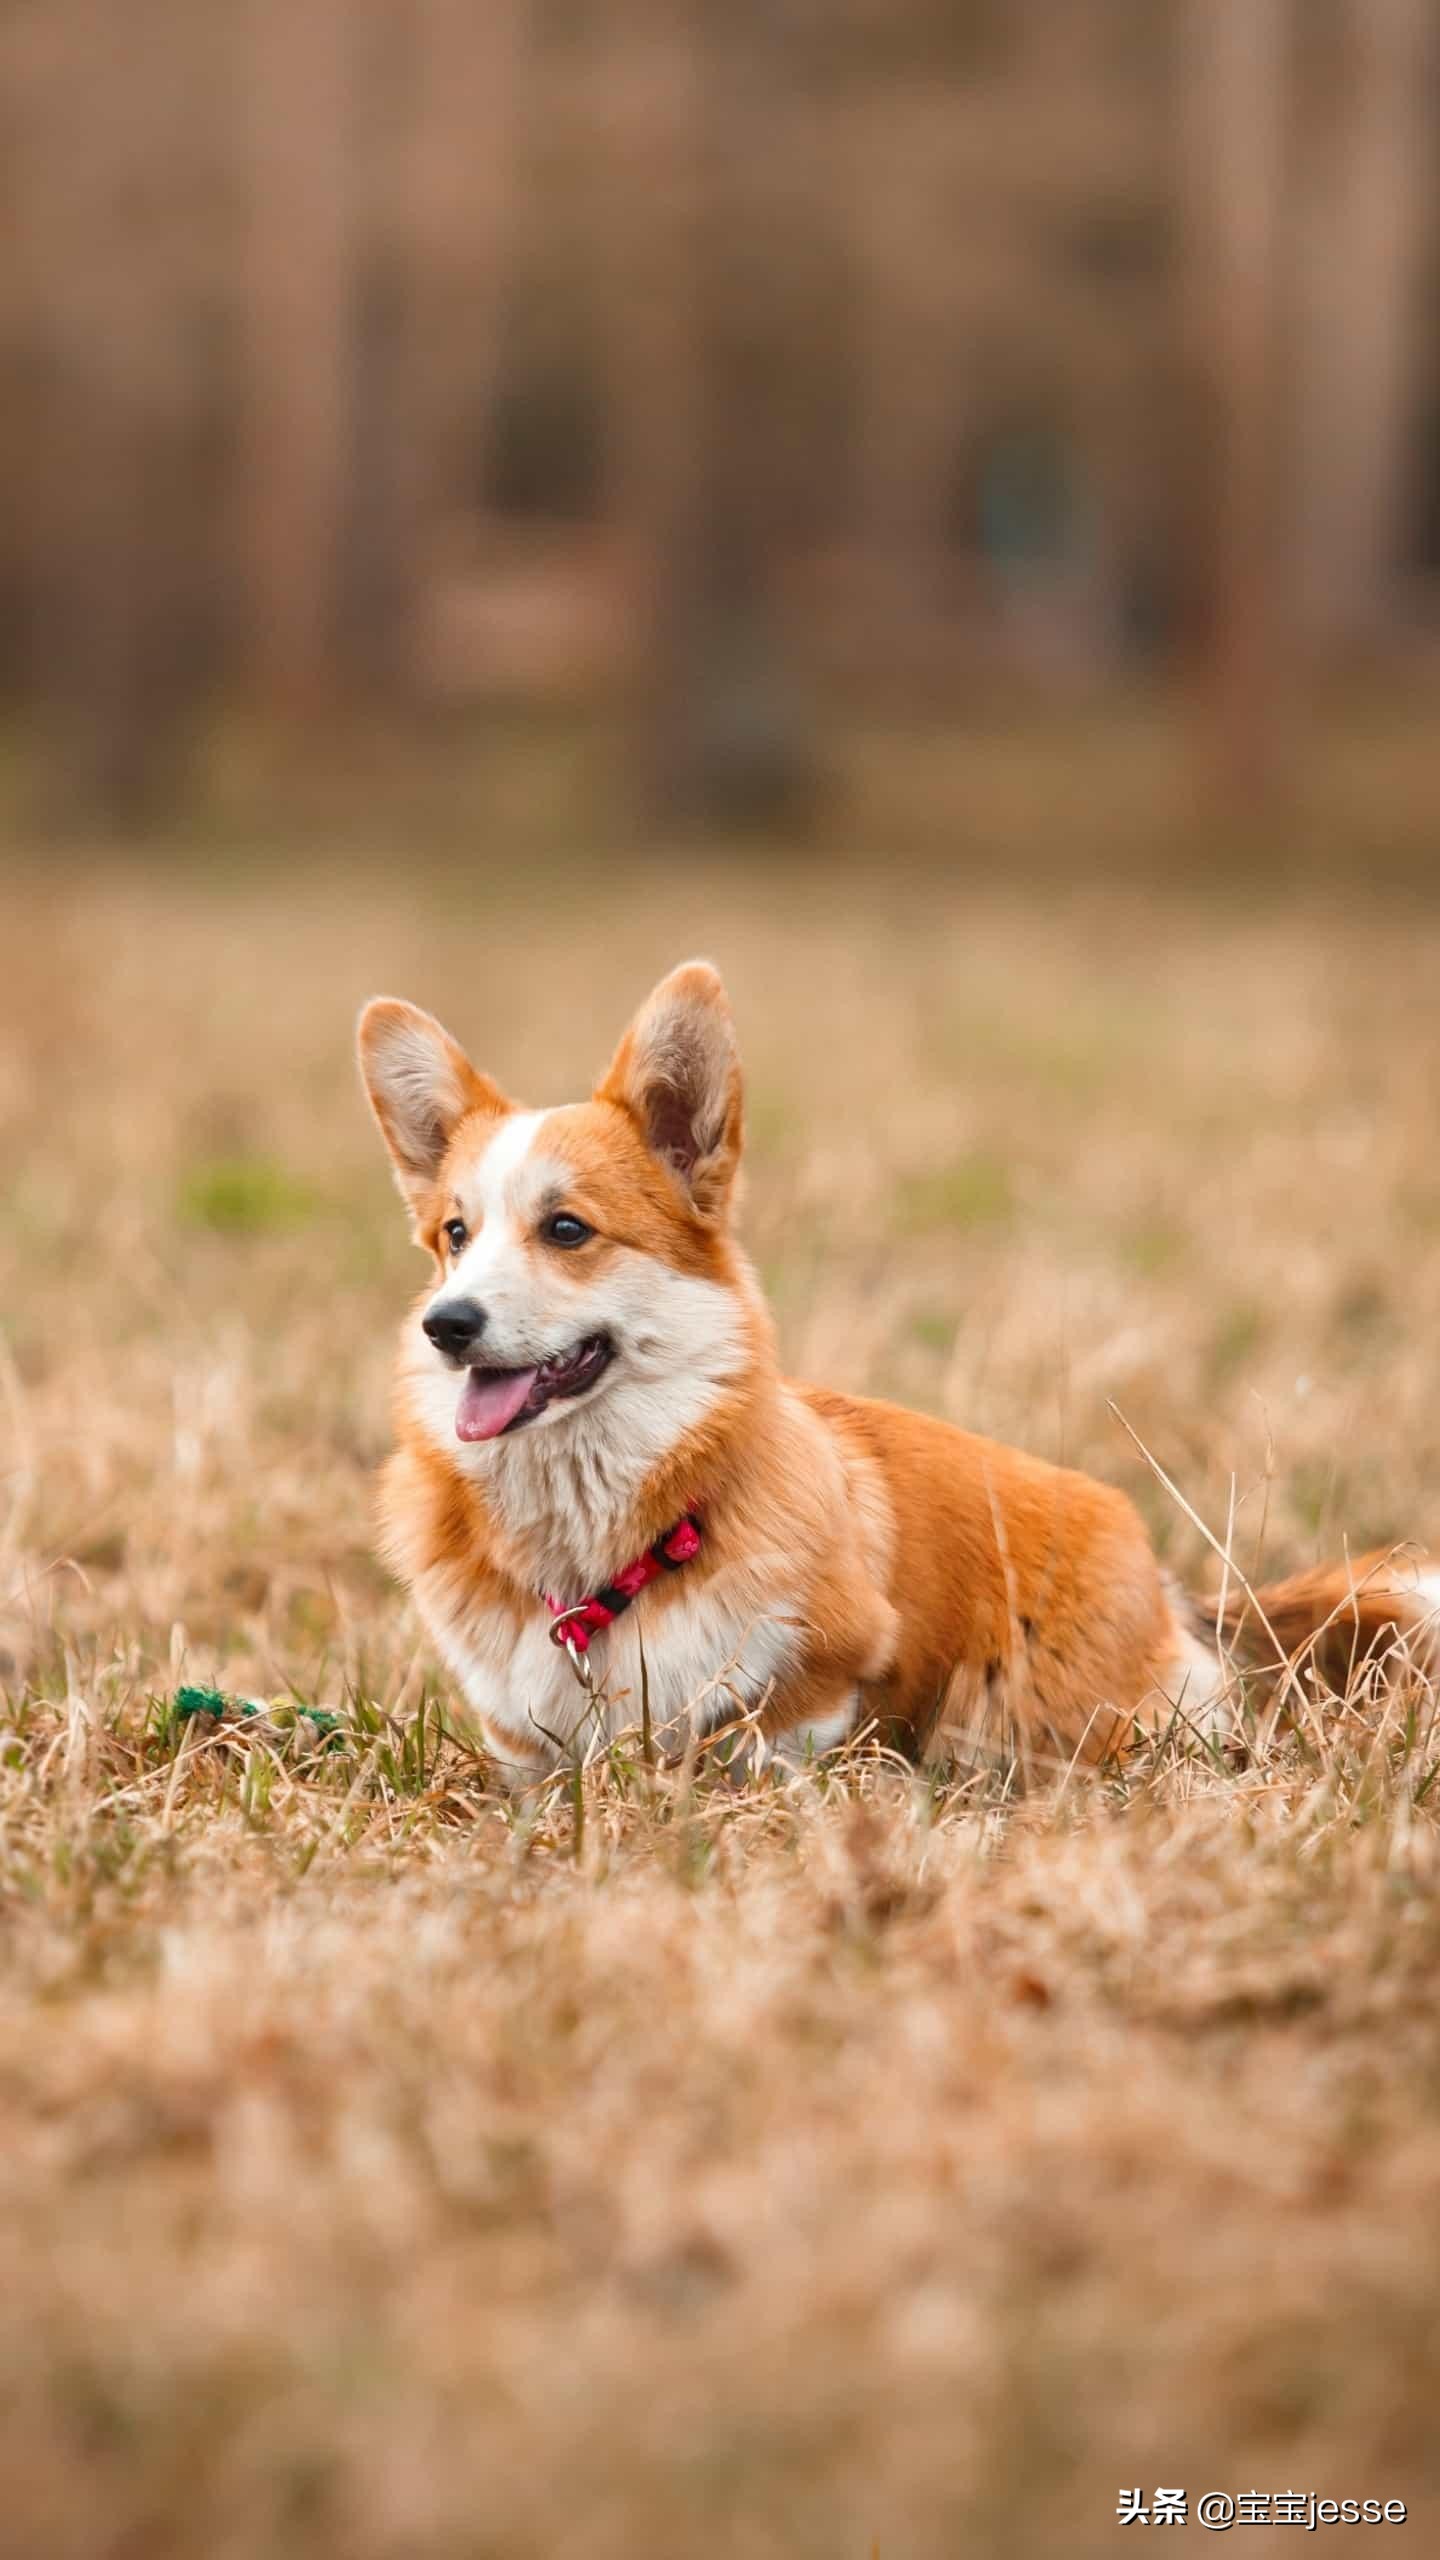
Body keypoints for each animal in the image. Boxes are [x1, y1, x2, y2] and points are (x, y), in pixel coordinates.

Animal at [356, 962, 1424, 1781]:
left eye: (568, 1230)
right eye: (456, 1236)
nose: (446, 1325)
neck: (597, 1549)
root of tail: (1172, 1589)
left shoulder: (818, 1683)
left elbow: (763, 1747)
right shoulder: (522, 1746)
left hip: (1019, 1717)